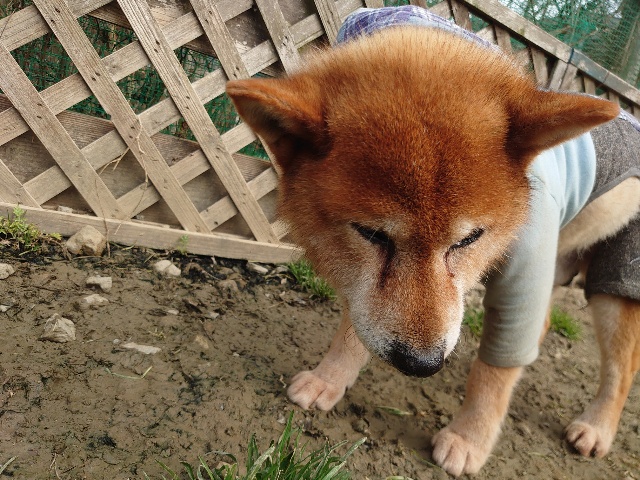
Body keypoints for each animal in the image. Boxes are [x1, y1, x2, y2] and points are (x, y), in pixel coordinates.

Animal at [226, 6, 640, 476]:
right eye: (372, 234)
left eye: (470, 239)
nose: (422, 365)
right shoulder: (362, 284)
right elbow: (356, 329)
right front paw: (329, 378)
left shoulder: (524, 274)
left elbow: (494, 373)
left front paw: (469, 439)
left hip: (614, 288)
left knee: (622, 369)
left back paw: (597, 428)